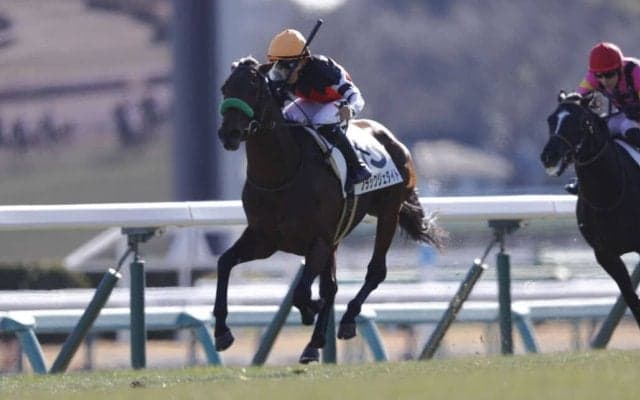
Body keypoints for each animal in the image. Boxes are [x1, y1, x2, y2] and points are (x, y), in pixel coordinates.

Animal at [215, 56, 447, 363]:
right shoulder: (264, 239)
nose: (228, 133)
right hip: (340, 235)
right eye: (225, 88)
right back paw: (314, 343)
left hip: (388, 212)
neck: (281, 175)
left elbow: (303, 292)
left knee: (375, 272)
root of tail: (393, 140)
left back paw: (345, 321)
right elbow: (225, 263)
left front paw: (310, 309)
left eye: (253, 87)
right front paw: (222, 331)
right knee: (332, 285)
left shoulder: (319, 241)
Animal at [540, 91, 640, 330]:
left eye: (580, 122)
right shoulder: (605, 254)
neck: (609, 195)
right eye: (550, 120)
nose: (549, 156)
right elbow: (631, 299)